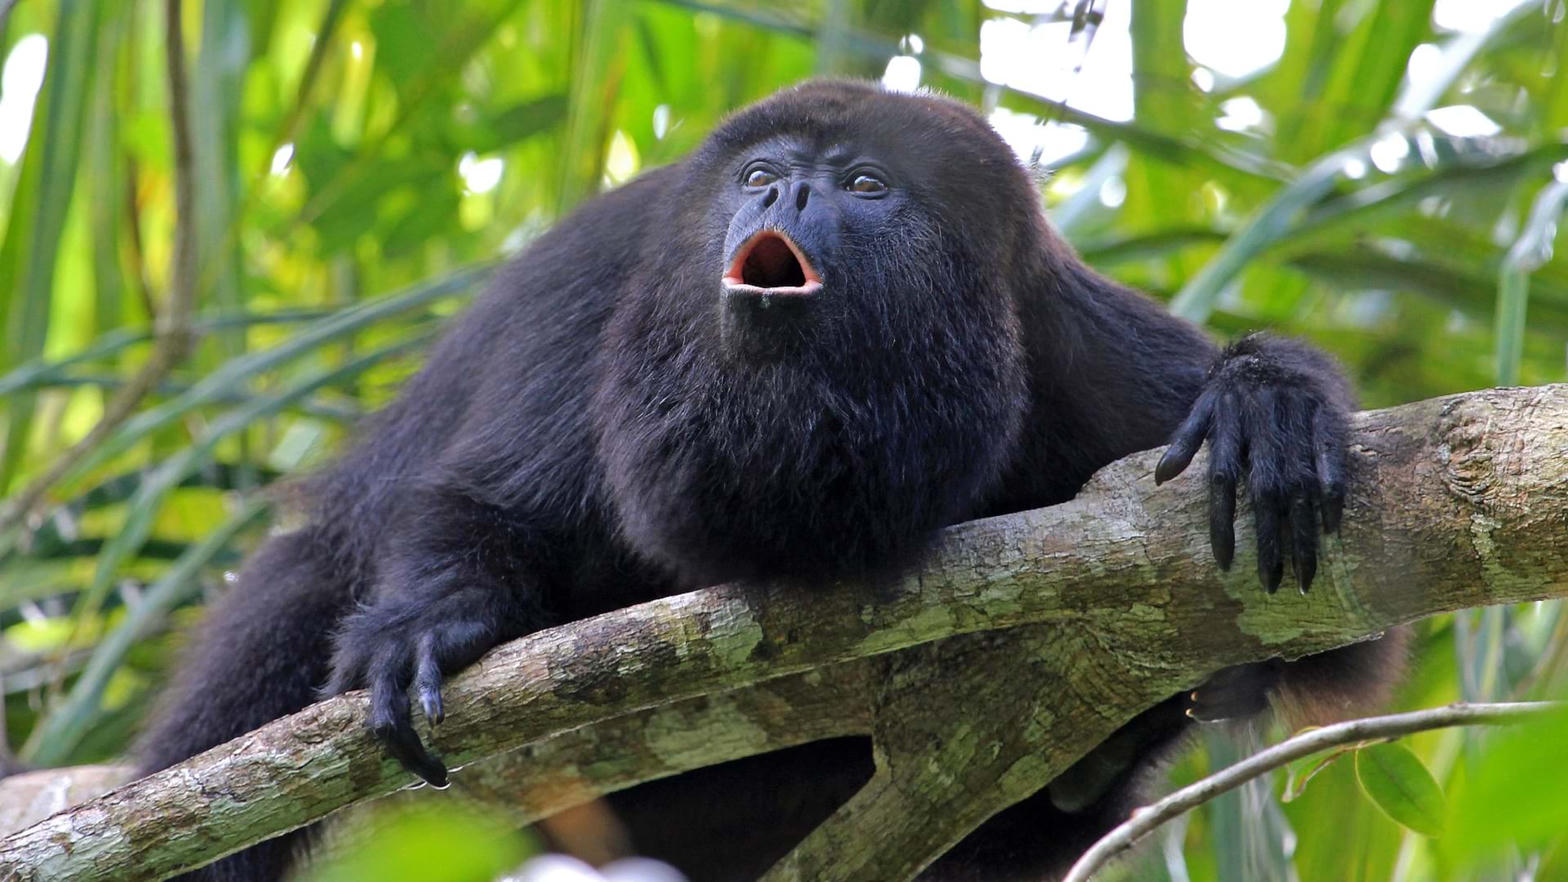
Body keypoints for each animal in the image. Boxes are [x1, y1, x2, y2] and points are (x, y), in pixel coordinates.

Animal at [136, 80, 1403, 882]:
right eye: (757, 172)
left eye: (863, 183)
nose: (782, 196)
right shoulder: (610, 286)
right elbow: (489, 504)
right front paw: (427, 622)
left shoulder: (1069, 343)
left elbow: (1334, 635)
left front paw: (1263, 402)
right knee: (287, 610)